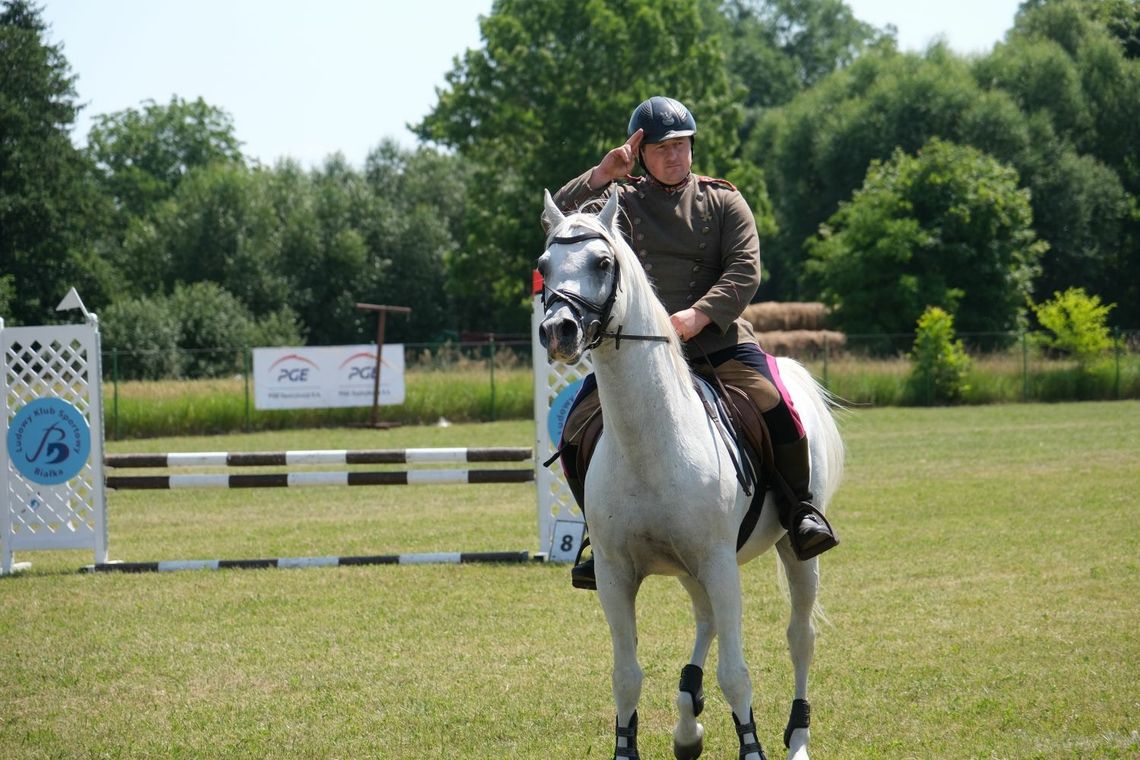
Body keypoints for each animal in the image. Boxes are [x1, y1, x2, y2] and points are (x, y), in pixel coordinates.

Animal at [538, 191, 843, 760]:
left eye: (603, 263)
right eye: (544, 266)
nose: (557, 332)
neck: (652, 442)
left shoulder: (719, 563)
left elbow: (737, 673)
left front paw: (752, 748)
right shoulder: (614, 574)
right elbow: (626, 676)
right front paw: (630, 746)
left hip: (791, 554)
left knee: (800, 637)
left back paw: (797, 738)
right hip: (689, 570)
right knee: (707, 622)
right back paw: (687, 716)